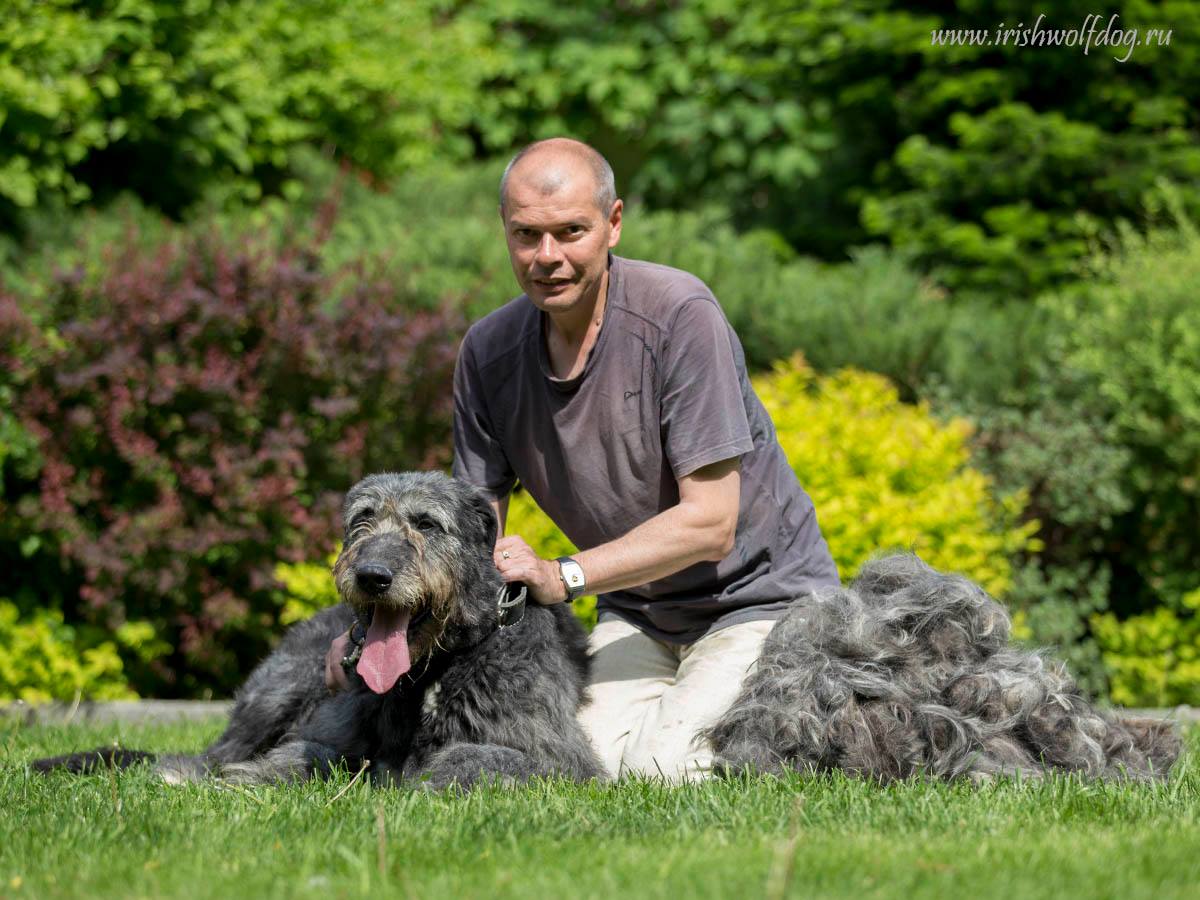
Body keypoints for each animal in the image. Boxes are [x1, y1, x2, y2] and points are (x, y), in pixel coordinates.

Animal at [35, 472, 600, 787]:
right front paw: (250, 780)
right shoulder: (330, 727)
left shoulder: (562, 762)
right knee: (211, 755)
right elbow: (316, 753)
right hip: (281, 690)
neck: (429, 675)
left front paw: (420, 786)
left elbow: (478, 758)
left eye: (426, 523)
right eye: (362, 519)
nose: (372, 575)